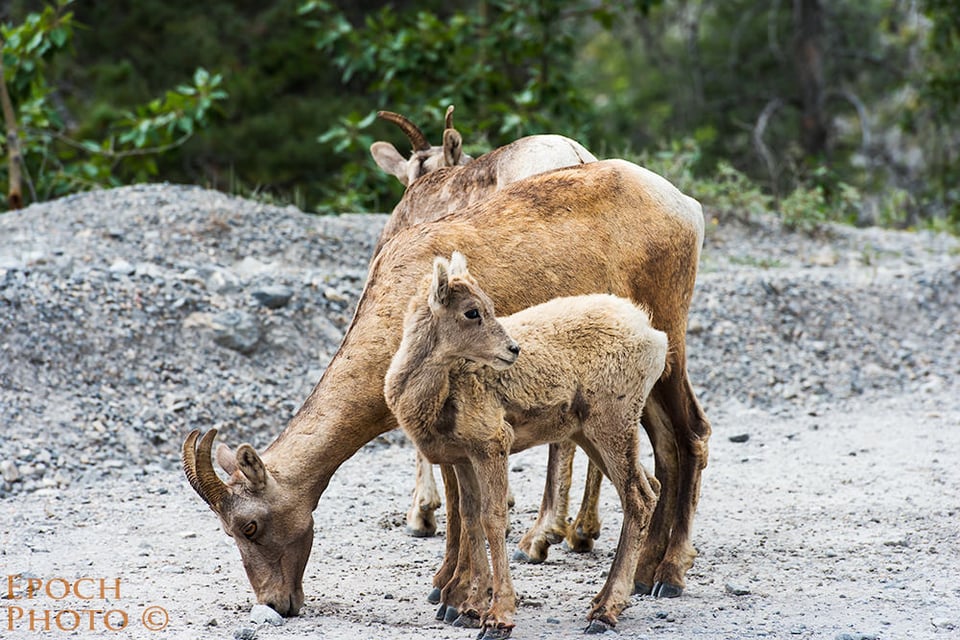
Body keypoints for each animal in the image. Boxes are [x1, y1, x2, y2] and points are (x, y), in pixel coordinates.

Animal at [382, 252, 668, 636]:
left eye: (489, 306)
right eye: (472, 311)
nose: (512, 349)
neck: (439, 396)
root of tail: (655, 336)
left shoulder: (493, 444)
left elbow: (493, 518)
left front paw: (497, 618)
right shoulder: (463, 457)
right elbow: (471, 518)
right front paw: (469, 610)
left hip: (613, 422)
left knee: (638, 498)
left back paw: (604, 613)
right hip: (590, 433)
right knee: (650, 487)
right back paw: (604, 603)